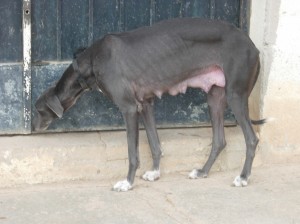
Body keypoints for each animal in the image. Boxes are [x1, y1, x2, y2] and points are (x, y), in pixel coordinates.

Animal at [32, 18, 264, 192]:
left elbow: (132, 153)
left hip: (235, 95)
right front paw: (155, 172)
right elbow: (155, 143)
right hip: (214, 98)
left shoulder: (129, 108)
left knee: (252, 139)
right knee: (219, 140)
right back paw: (202, 172)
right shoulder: (145, 104)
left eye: (38, 110)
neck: (91, 61)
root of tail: (253, 46)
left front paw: (127, 183)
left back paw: (243, 177)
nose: (32, 128)